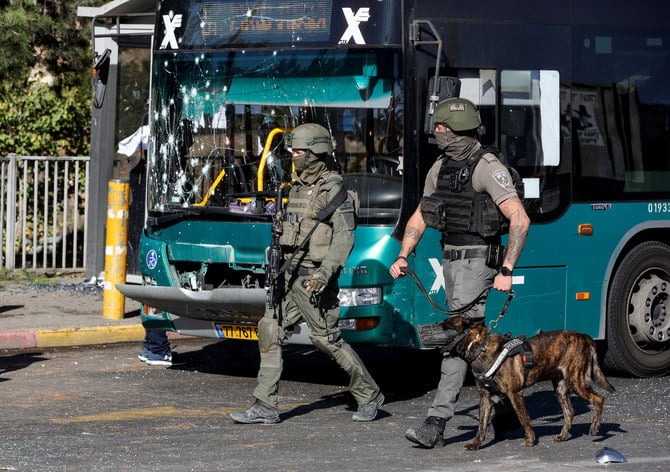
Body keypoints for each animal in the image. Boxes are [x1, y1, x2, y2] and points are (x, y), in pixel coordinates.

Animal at [440, 318, 620, 450]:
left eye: (445, 326)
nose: (432, 327)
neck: (480, 347)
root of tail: (584, 336)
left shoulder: (515, 394)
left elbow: (524, 418)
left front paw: (530, 440)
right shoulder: (485, 397)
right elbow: (481, 424)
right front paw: (476, 444)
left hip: (576, 381)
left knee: (599, 399)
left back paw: (595, 428)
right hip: (561, 388)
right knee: (569, 412)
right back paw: (563, 436)